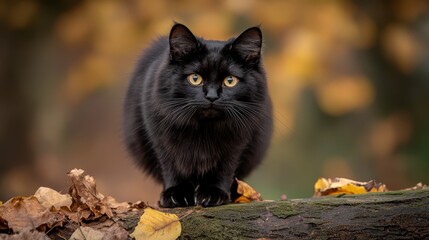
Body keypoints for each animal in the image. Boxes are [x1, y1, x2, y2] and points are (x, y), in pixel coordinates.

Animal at [123, 23, 270, 207]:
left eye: (230, 81)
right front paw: (176, 194)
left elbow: (224, 168)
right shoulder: (160, 139)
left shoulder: (237, 143)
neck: (204, 129)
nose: (212, 96)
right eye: (195, 78)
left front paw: (213, 193)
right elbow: (172, 166)